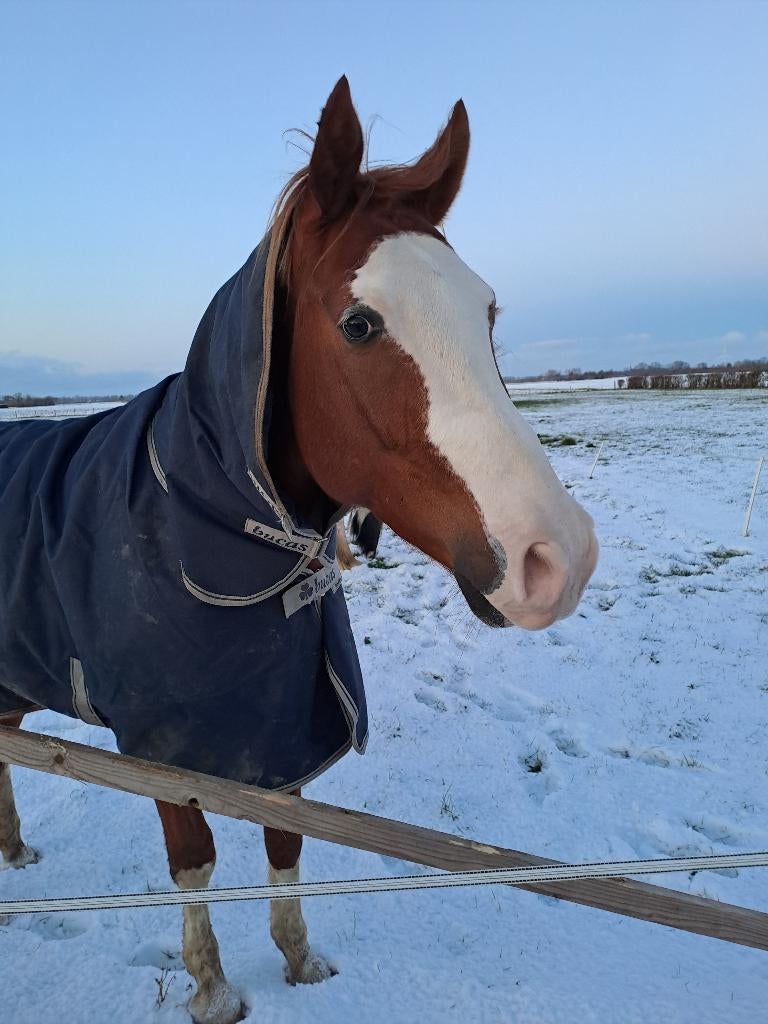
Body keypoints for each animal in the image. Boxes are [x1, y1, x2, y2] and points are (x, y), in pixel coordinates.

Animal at [0, 77, 598, 1024]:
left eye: (488, 313)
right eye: (358, 324)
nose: (559, 558)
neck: (200, 512)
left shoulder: (281, 731)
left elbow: (287, 842)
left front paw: (299, 961)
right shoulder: (161, 748)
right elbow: (196, 860)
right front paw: (212, 990)